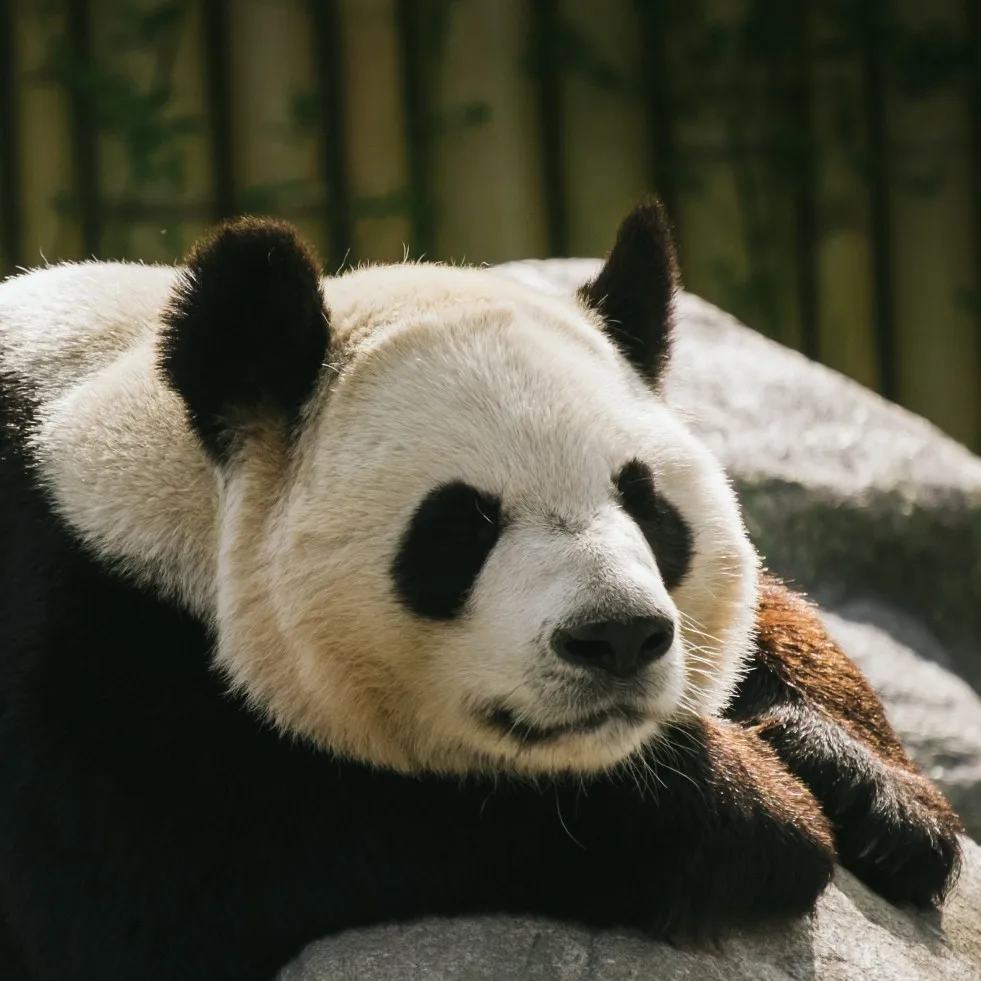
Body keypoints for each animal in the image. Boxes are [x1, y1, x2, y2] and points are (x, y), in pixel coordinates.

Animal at [0, 200, 963, 981]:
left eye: (647, 504)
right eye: (460, 527)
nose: (617, 637)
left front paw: (873, 794)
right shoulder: (76, 663)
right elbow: (200, 865)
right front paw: (755, 810)